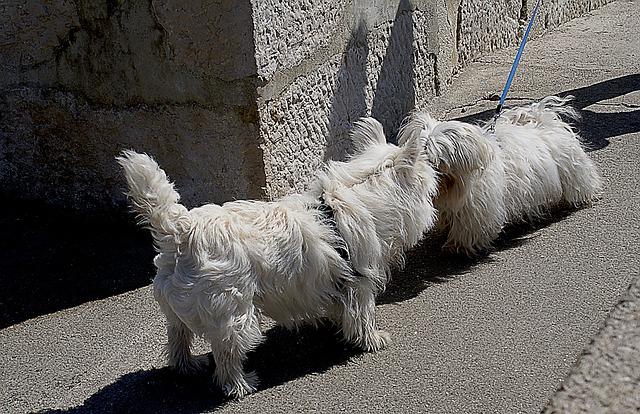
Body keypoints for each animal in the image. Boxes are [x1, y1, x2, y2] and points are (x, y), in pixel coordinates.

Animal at [116, 117, 440, 398]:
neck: (354, 197)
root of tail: (180, 229)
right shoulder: (360, 281)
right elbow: (364, 314)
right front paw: (372, 340)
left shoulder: (336, 281)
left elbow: (341, 308)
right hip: (234, 312)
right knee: (226, 354)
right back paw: (241, 384)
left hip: (176, 309)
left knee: (178, 338)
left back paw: (189, 366)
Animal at [398, 96, 604, 256]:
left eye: (433, 157)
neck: (454, 184)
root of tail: (543, 121)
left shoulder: (477, 208)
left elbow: (469, 228)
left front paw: (457, 246)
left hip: (572, 171)